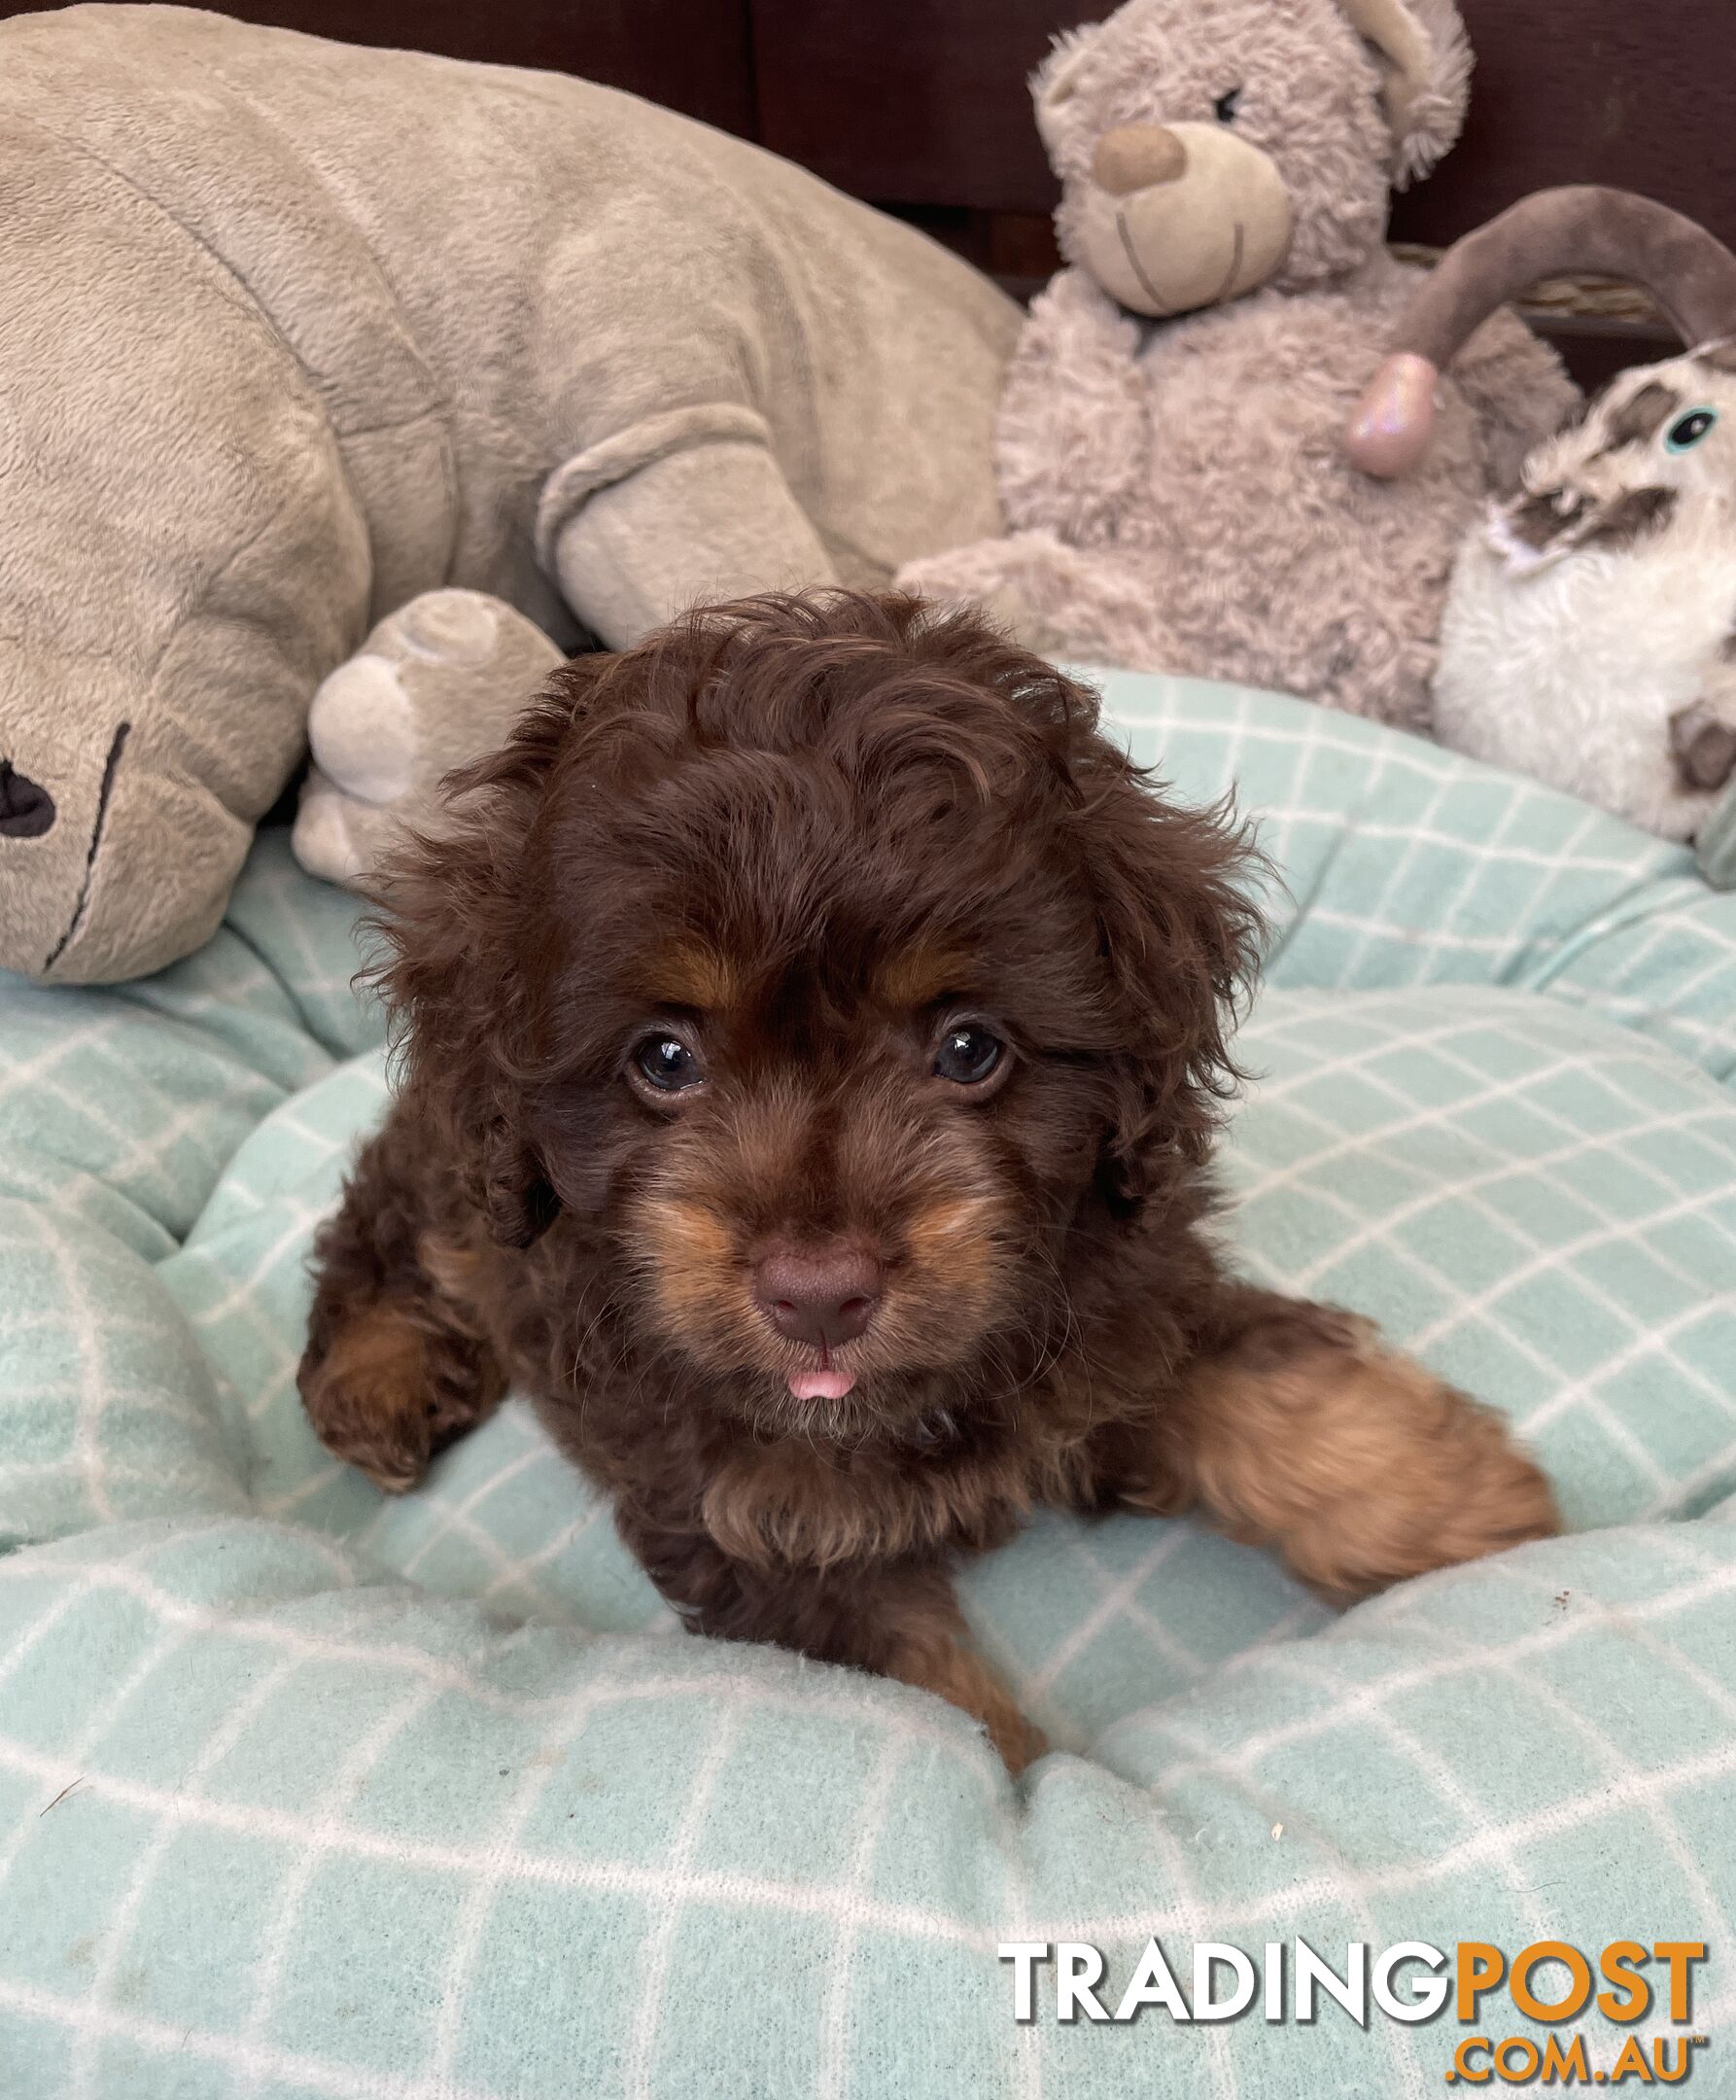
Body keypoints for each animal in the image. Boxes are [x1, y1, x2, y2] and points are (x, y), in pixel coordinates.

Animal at [297, 592, 1561, 1772]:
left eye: (967, 1048)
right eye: (663, 1058)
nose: (817, 1294)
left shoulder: (1121, 1291)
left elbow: (1253, 1370)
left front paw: (1455, 1502)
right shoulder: (764, 1528)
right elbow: (931, 1712)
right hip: (460, 1162)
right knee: (388, 1217)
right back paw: (379, 1378)